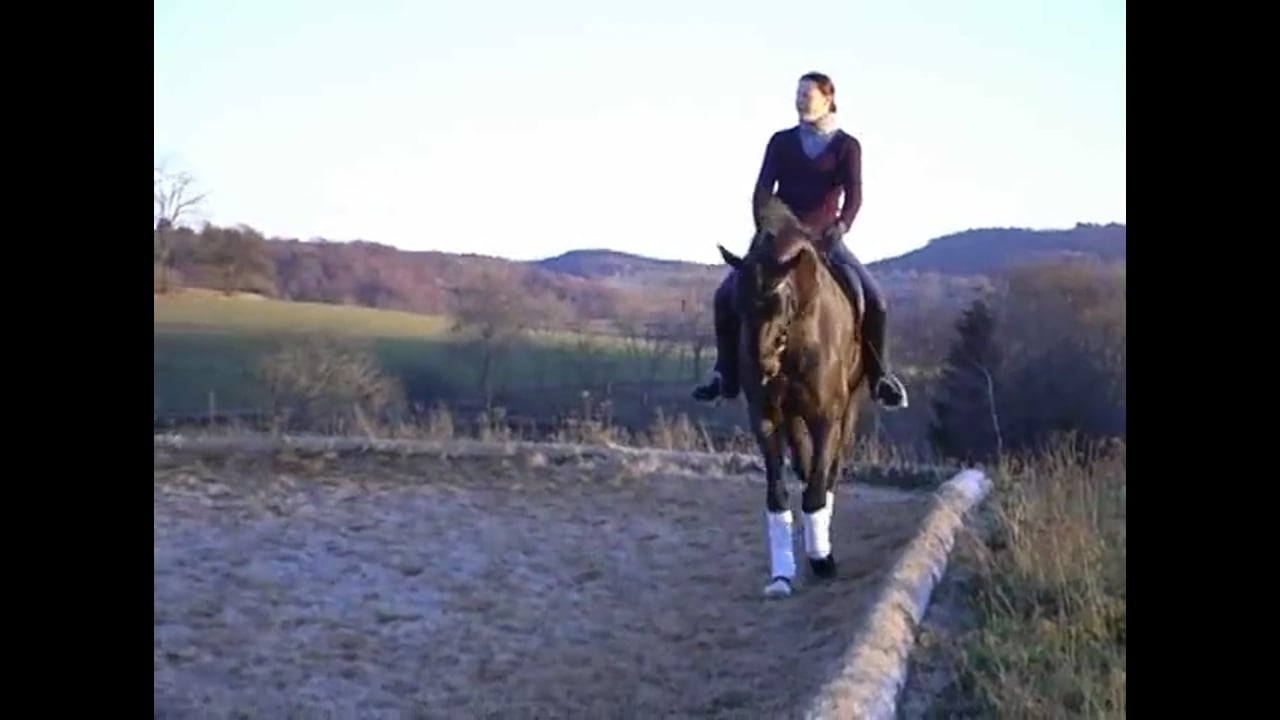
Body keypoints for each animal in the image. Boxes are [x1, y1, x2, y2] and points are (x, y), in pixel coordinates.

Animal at [716, 197, 867, 598]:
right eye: (737, 304)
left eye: (780, 304)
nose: (761, 365)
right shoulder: (765, 416)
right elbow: (778, 494)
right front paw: (782, 572)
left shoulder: (827, 417)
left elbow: (817, 488)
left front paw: (822, 558)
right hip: (793, 414)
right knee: (803, 463)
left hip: (850, 407)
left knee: (828, 473)